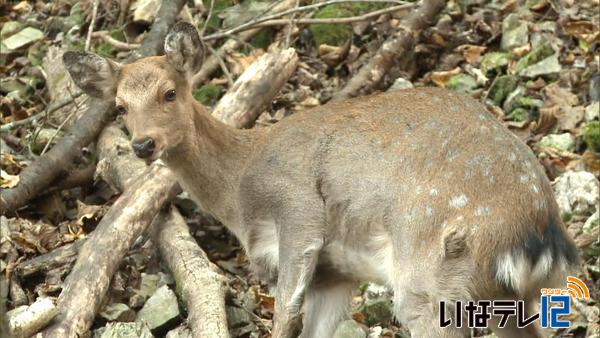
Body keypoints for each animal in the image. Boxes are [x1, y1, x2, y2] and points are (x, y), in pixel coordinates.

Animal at [64, 22, 580, 336]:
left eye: (170, 92)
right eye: (120, 107)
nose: (142, 145)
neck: (238, 191)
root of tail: (538, 234)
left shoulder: (297, 211)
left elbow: (284, 312)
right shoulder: (335, 275)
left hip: (432, 276)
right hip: (525, 297)